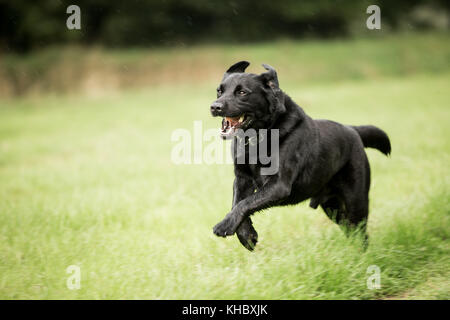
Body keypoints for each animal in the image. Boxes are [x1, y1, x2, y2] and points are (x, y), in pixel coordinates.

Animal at [210, 60, 390, 250]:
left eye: (242, 92)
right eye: (219, 91)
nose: (215, 106)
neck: (257, 138)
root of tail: (352, 130)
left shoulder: (278, 185)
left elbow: (245, 203)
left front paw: (224, 226)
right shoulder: (242, 178)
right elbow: (237, 202)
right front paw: (247, 235)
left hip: (356, 201)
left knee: (361, 231)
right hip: (333, 207)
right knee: (351, 229)